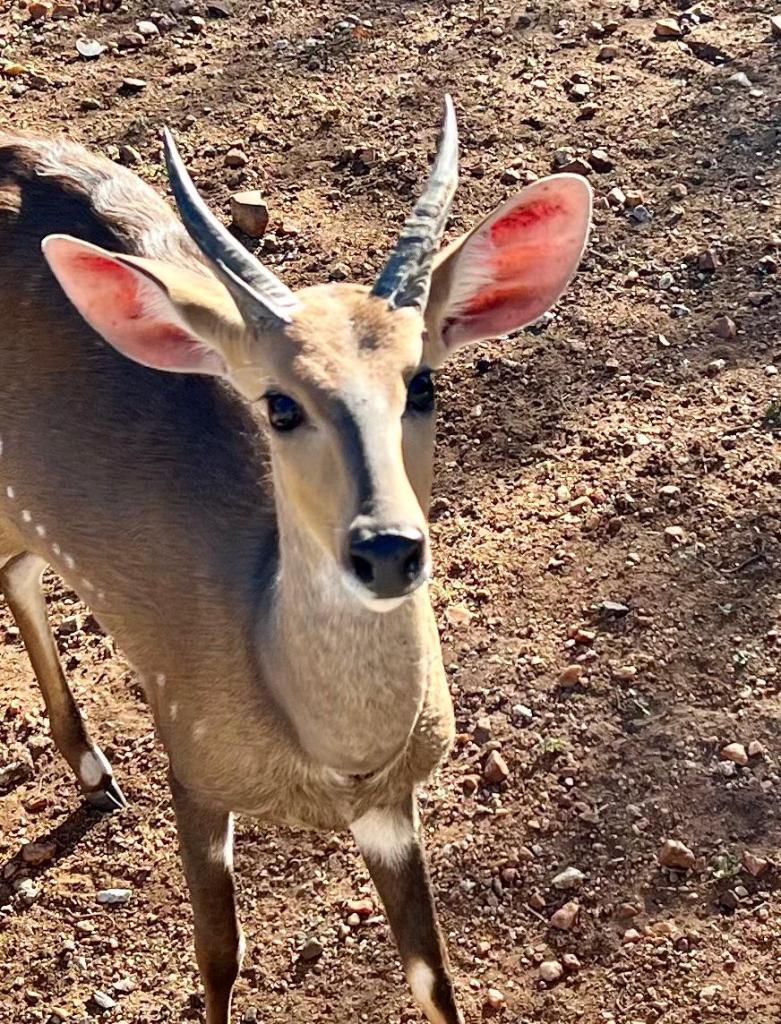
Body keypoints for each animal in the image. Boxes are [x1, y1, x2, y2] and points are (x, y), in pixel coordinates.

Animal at [0, 96, 591, 1023]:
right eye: (278, 404)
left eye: (423, 383)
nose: (386, 549)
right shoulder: (193, 758)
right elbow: (218, 956)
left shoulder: (392, 802)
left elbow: (432, 973)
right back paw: (97, 773)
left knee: (18, 567)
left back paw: (96, 776)